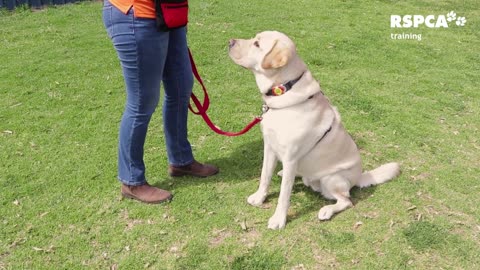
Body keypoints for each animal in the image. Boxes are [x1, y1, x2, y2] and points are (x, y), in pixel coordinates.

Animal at [229, 31, 402, 230]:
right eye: (253, 38)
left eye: (257, 44)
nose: (230, 42)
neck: (285, 89)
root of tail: (359, 176)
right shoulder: (270, 147)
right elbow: (265, 176)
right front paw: (259, 198)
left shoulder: (290, 158)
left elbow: (283, 195)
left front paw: (278, 219)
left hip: (332, 179)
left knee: (346, 201)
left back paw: (327, 210)